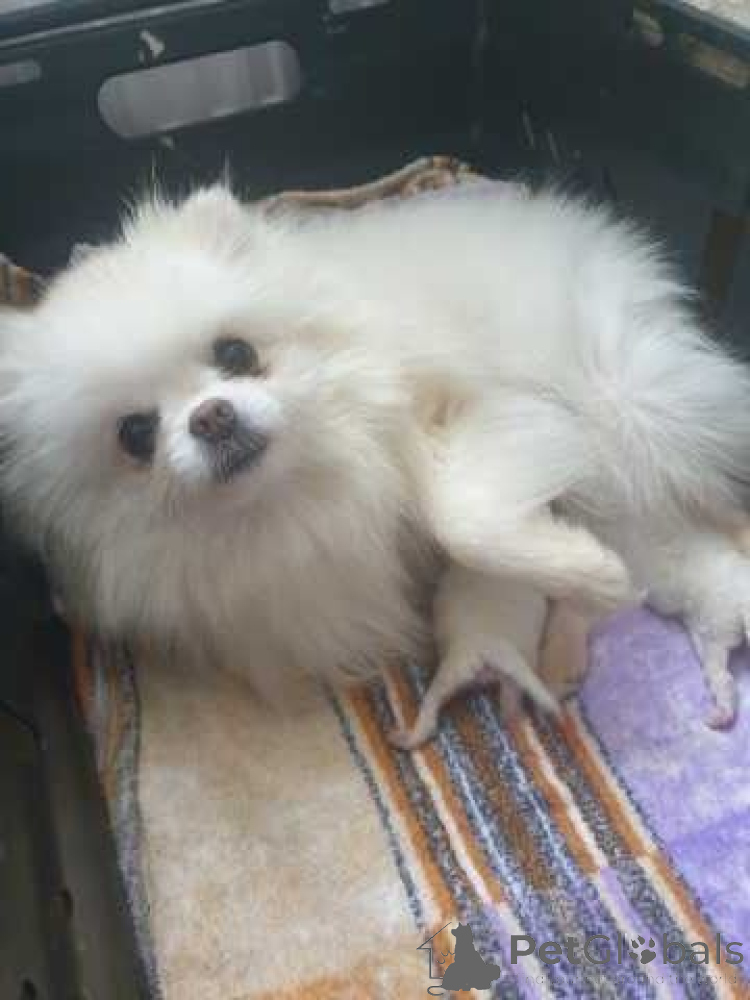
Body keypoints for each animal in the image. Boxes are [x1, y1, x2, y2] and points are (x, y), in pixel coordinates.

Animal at [1, 183, 749, 724]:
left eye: (236, 353)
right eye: (135, 434)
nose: (211, 416)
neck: (314, 486)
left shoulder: (479, 405)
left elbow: (462, 518)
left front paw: (594, 573)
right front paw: (587, 573)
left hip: (636, 405)